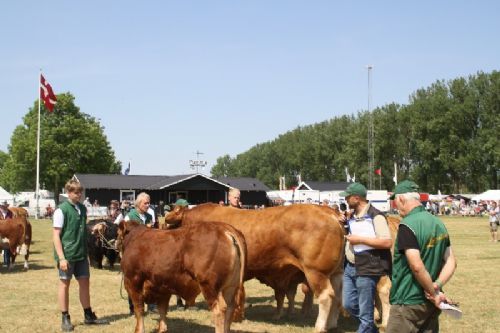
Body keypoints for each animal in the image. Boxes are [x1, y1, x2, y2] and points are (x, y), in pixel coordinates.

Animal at [119, 220, 248, 332]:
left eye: (118, 233)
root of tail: (224, 228)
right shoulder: (162, 288)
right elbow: (162, 310)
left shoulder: (132, 281)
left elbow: (139, 309)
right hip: (230, 286)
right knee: (231, 307)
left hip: (210, 286)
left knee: (219, 310)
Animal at [166, 202, 346, 332]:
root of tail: (329, 213)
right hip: (336, 272)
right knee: (337, 295)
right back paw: (332, 324)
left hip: (316, 272)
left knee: (326, 296)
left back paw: (319, 327)